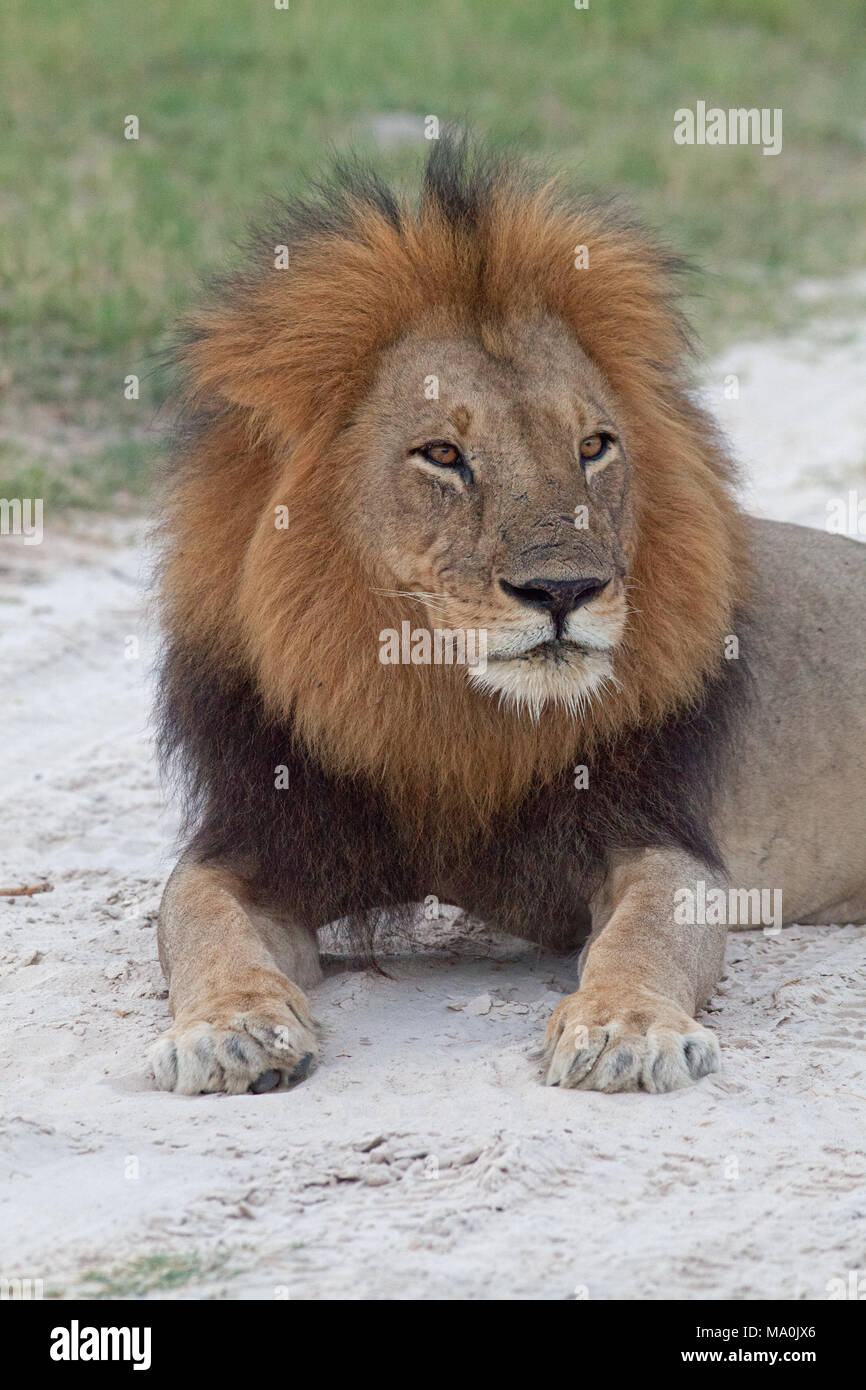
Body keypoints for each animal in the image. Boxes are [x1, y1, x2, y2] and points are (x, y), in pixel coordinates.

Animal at [151, 136, 866, 1095]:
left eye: (593, 446)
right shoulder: (257, 838)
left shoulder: (654, 834)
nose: (563, 591)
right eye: (444, 455)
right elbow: (195, 919)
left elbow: (649, 933)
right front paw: (232, 1027)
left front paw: (625, 1026)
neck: (450, 712)